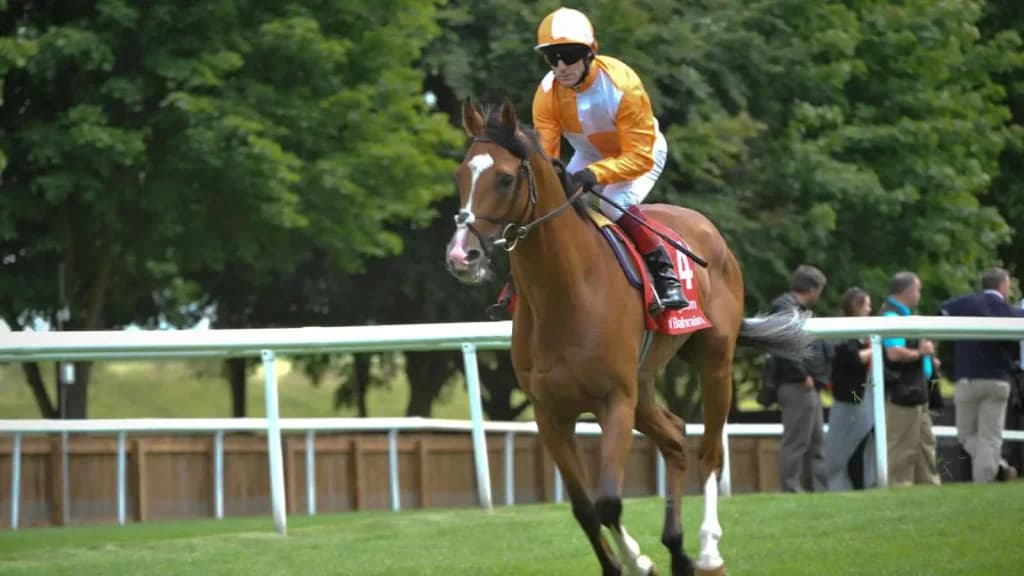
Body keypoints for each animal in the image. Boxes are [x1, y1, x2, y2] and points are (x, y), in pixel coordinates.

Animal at [445, 99, 808, 576]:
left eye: (505, 178)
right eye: (461, 175)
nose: (461, 255)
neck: (565, 293)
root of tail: (708, 230)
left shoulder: (614, 400)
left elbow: (609, 503)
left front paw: (640, 562)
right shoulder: (550, 413)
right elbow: (584, 508)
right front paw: (626, 562)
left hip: (713, 362)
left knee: (710, 453)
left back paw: (707, 552)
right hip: (645, 384)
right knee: (675, 437)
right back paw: (677, 548)